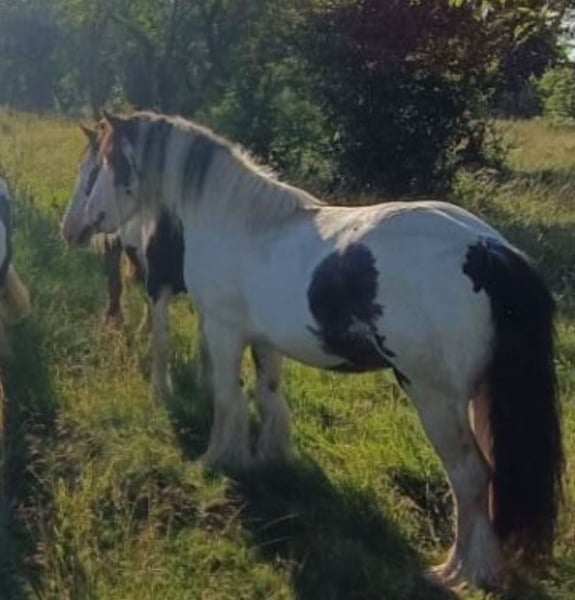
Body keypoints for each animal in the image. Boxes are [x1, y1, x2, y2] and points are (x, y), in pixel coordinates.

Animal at [60, 125, 193, 398]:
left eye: (93, 174)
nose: (68, 230)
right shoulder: (159, 284)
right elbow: (162, 340)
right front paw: (162, 391)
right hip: (114, 246)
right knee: (115, 289)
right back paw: (115, 326)